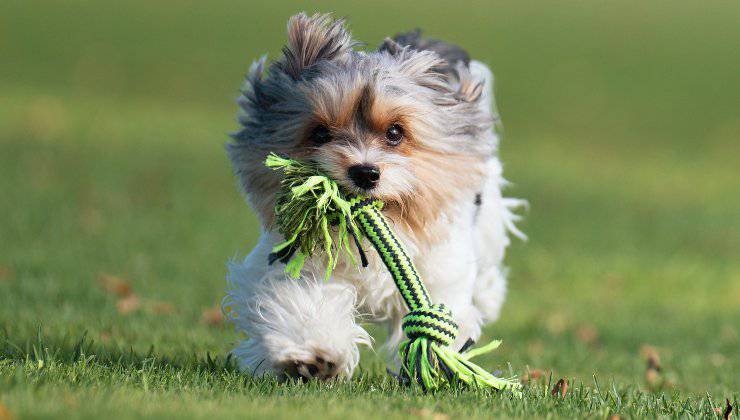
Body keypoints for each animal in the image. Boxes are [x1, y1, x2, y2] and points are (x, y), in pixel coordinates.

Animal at [223, 12, 524, 380]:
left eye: (395, 132)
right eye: (319, 133)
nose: (364, 172)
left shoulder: (442, 269)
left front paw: (440, 362)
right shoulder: (295, 261)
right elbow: (304, 300)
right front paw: (313, 357)